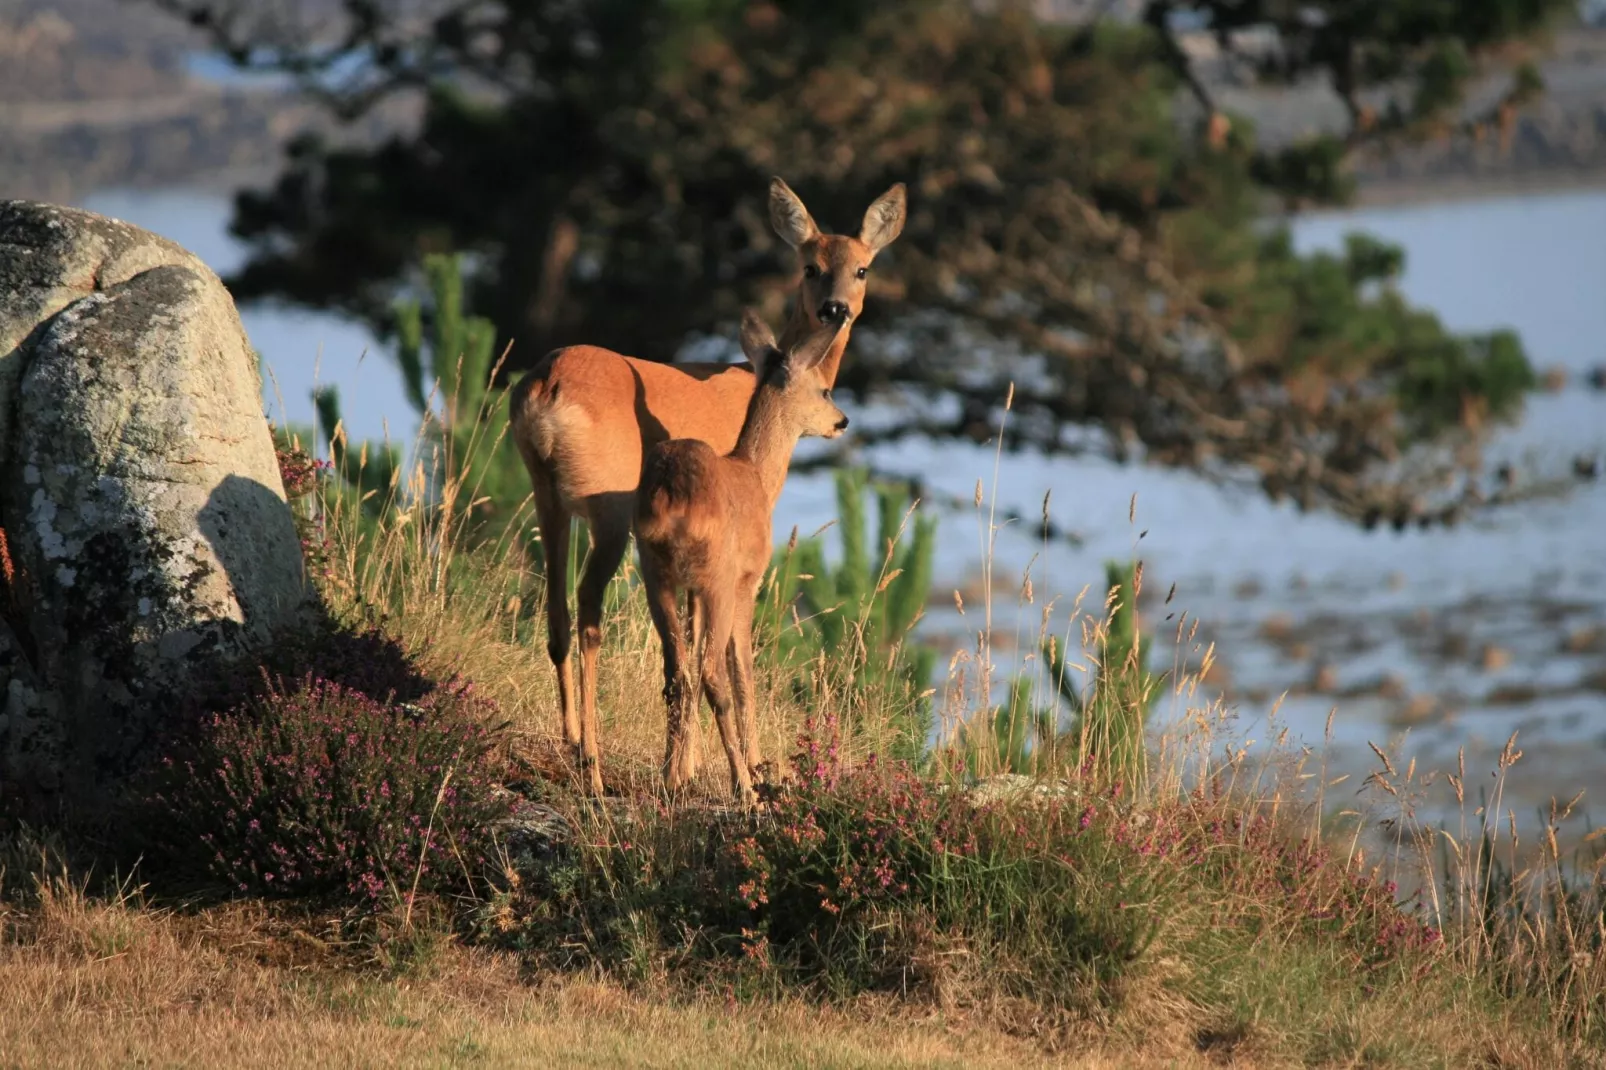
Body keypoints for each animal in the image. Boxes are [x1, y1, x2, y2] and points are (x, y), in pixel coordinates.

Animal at [632, 308, 847, 800]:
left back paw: (669, 777)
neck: (757, 476)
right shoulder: (748, 581)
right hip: (718, 574)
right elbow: (744, 673)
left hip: (656, 572)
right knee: (713, 673)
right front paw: (755, 764)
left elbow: (688, 668)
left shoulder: (691, 591)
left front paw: (686, 768)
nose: (842, 421)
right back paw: (744, 786)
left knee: (677, 672)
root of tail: (672, 496)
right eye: (823, 389)